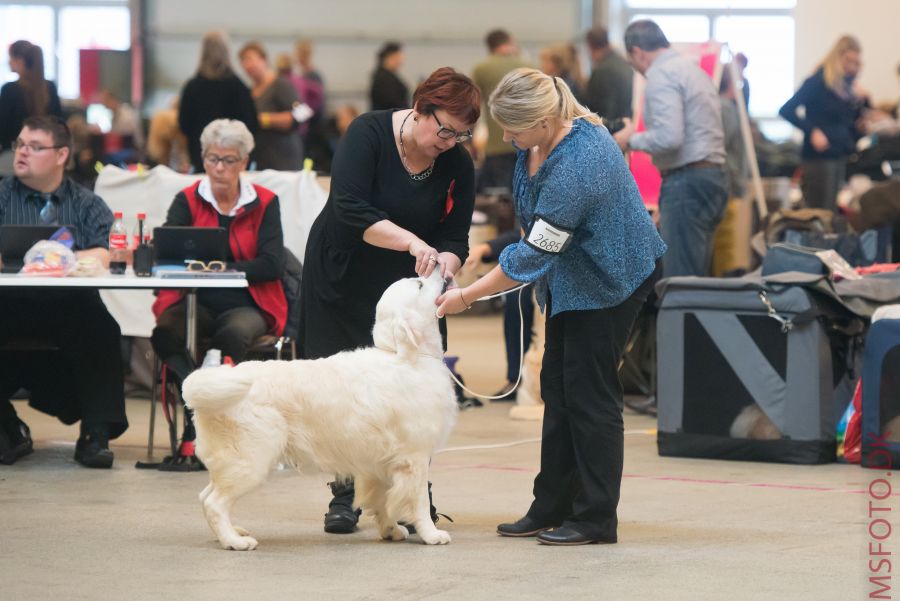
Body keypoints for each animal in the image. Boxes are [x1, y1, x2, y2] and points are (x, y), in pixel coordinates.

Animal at [185, 270, 460, 548]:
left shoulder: (380, 461)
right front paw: (431, 534)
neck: (408, 356)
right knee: (214, 503)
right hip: (251, 460)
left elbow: (382, 500)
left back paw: (234, 532)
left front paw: (390, 529)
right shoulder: (414, 458)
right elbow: (419, 501)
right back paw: (235, 541)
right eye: (420, 284)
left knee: (204, 496)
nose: (440, 266)